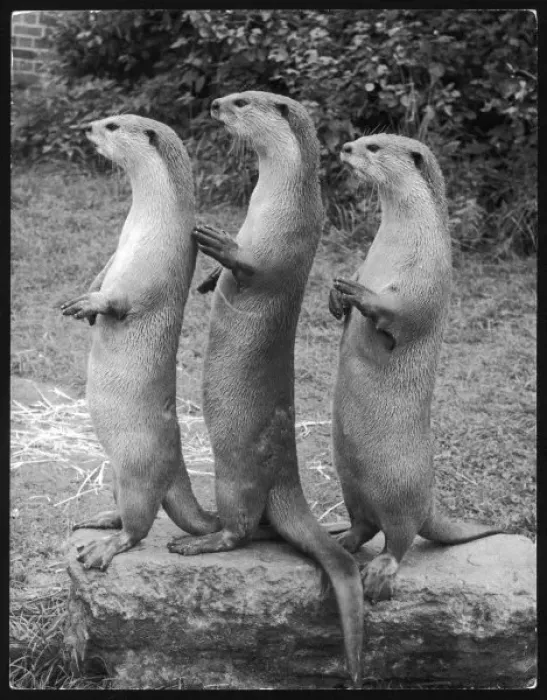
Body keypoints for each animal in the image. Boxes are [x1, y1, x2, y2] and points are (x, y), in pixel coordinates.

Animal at [60, 114, 219, 570]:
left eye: (112, 125)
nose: (87, 127)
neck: (146, 226)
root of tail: (176, 464)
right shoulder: (117, 249)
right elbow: (102, 273)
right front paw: (85, 297)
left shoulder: (157, 266)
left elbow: (120, 299)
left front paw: (91, 305)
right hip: (115, 471)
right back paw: (98, 518)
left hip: (137, 471)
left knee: (139, 525)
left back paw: (102, 548)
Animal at [167, 92, 364, 688]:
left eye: (242, 101)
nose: (214, 102)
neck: (275, 205)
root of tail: (286, 477)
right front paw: (208, 280)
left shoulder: (288, 246)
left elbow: (253, 266)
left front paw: (216, 243)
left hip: (236, 473)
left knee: (242, 529)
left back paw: (196, 541)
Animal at [329, 133, 504, 602]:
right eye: (361, 140)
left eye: (372, 146)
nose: (345, 146)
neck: (400, 244)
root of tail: (429, 504)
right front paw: (337, 293)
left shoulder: (430, 277)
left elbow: (404, 313)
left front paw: (362, 295)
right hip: (350, 482)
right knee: (364, 525)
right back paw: (342, 541)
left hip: (400, 491)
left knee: (399, 538)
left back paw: (379, 573)